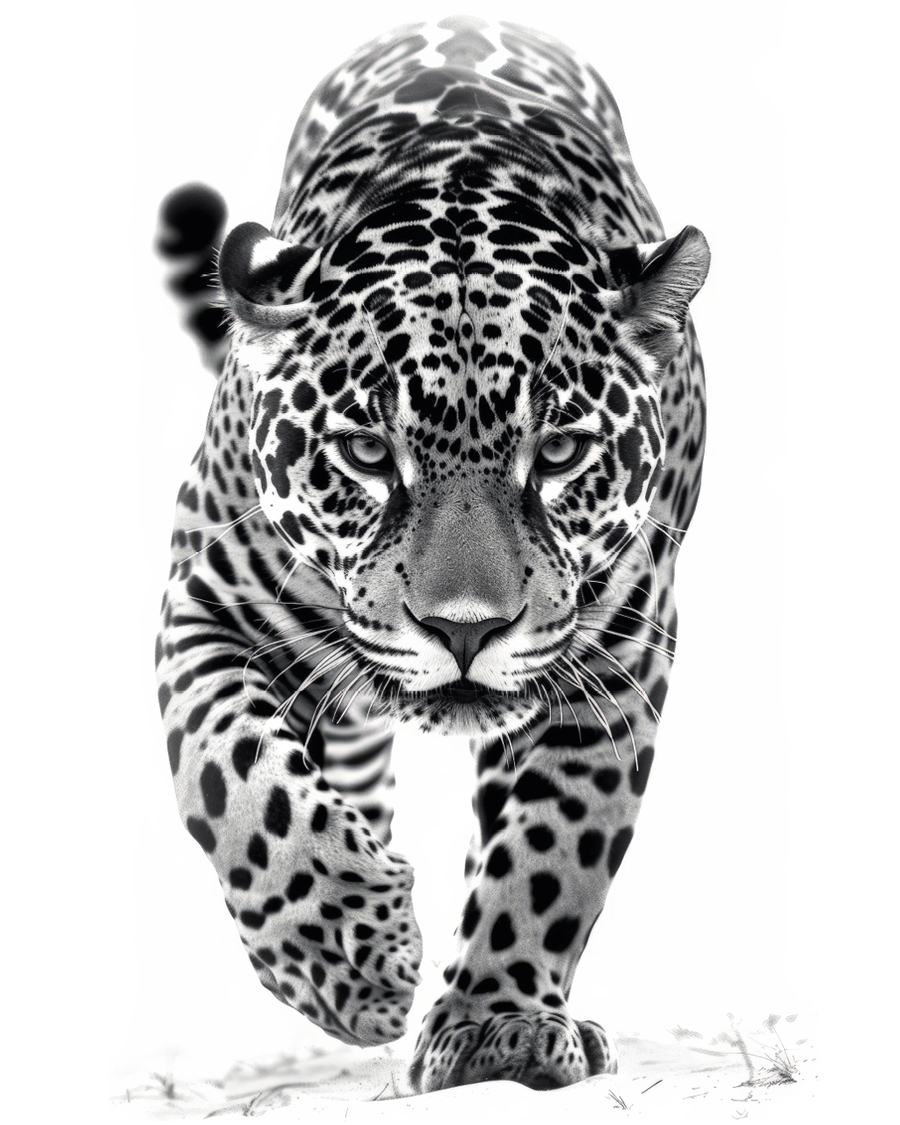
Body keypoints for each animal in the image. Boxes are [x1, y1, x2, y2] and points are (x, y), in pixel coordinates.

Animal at [156, 13, 709, 1094]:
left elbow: (553, 847)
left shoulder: (622, 654)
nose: (465, 630)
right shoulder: (202, 600)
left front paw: (497, 1024)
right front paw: (347, 956)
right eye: (369, 455)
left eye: (561, 452)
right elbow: (236, 775)